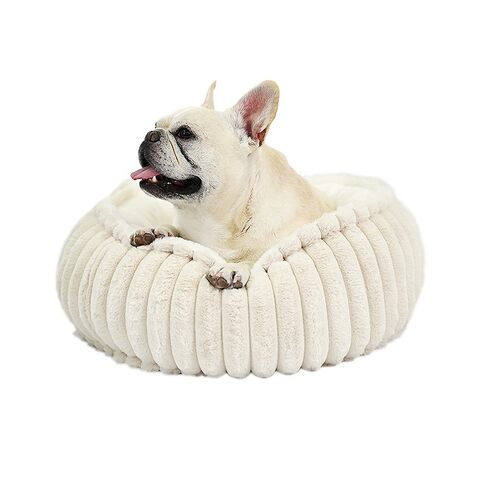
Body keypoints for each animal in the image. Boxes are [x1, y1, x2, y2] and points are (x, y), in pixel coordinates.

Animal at [130, 81, 335, 289]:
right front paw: (158, 230)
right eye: (155, 125)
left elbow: (258, 258)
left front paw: (233, 267)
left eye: (185, 133)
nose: (150, 134)